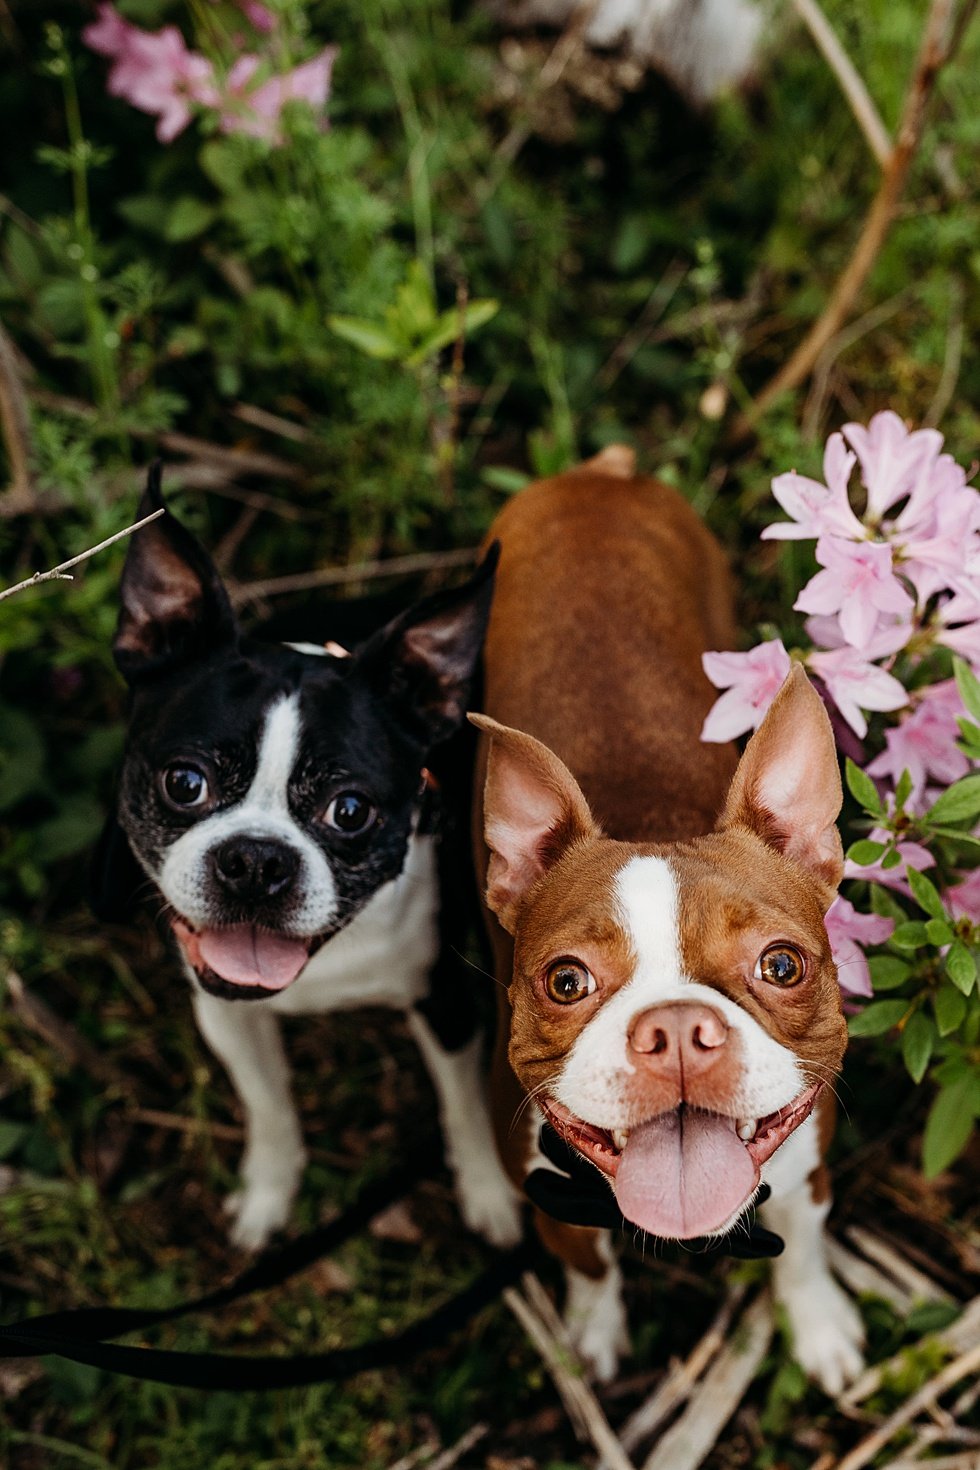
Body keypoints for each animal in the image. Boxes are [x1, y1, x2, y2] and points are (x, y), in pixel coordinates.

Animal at [95, 470, 520, 1252]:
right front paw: (267, 1194)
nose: (256, 861)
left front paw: (490, 1194)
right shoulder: (224, 1012)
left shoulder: (445, 999)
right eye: (184, 783)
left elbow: (465, 1106)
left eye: (349, 812)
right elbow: (267, 1104)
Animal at [476, 446, 863, 1387]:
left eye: (781, 965)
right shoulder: (548, 1194)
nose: (680, 1030)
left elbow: (803, 1248)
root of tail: (600, 473)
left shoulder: (808, 1170)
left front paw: (818, 1324)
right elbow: (586, 1263)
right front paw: (593, 1332)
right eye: (566, 981)